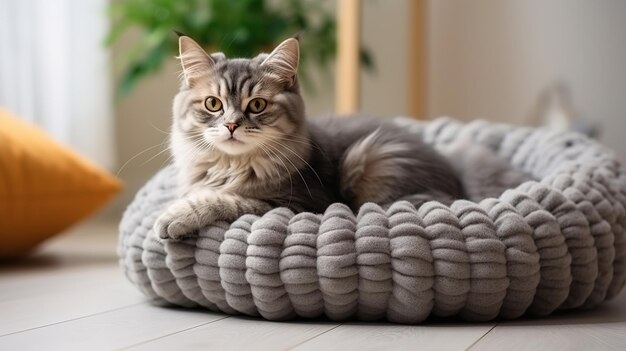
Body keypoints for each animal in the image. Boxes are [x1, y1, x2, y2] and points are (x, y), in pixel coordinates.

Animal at [154, 35, 460, 241]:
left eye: (257, 105)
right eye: (213, 104)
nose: (231, 125)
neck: (231, 166)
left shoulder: (297, 203)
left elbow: (226, 199)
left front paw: (174, 217)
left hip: (373, 157)